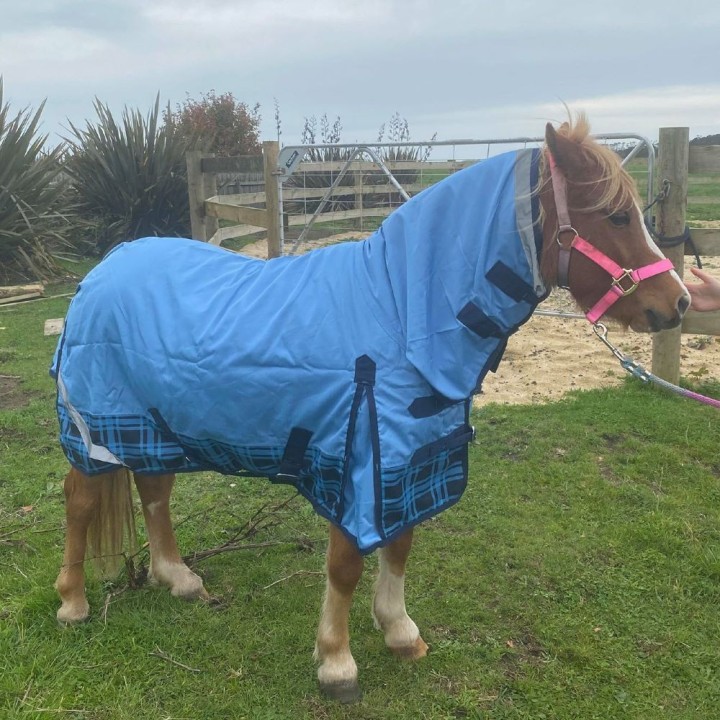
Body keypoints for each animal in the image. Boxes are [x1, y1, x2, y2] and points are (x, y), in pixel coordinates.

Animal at [51, 115, 689, 702]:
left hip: (152, 423)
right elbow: (345, 566)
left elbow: (400, 546)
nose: (680, 301)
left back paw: (178, 577)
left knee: (154, 489)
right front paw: (337, 662)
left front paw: (400, 631)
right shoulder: (353, 461)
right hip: (96, 425)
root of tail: (103, 269)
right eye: (616, 216)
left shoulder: (407, 459)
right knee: (80, 499)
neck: (398, 312)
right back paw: (73, 602)